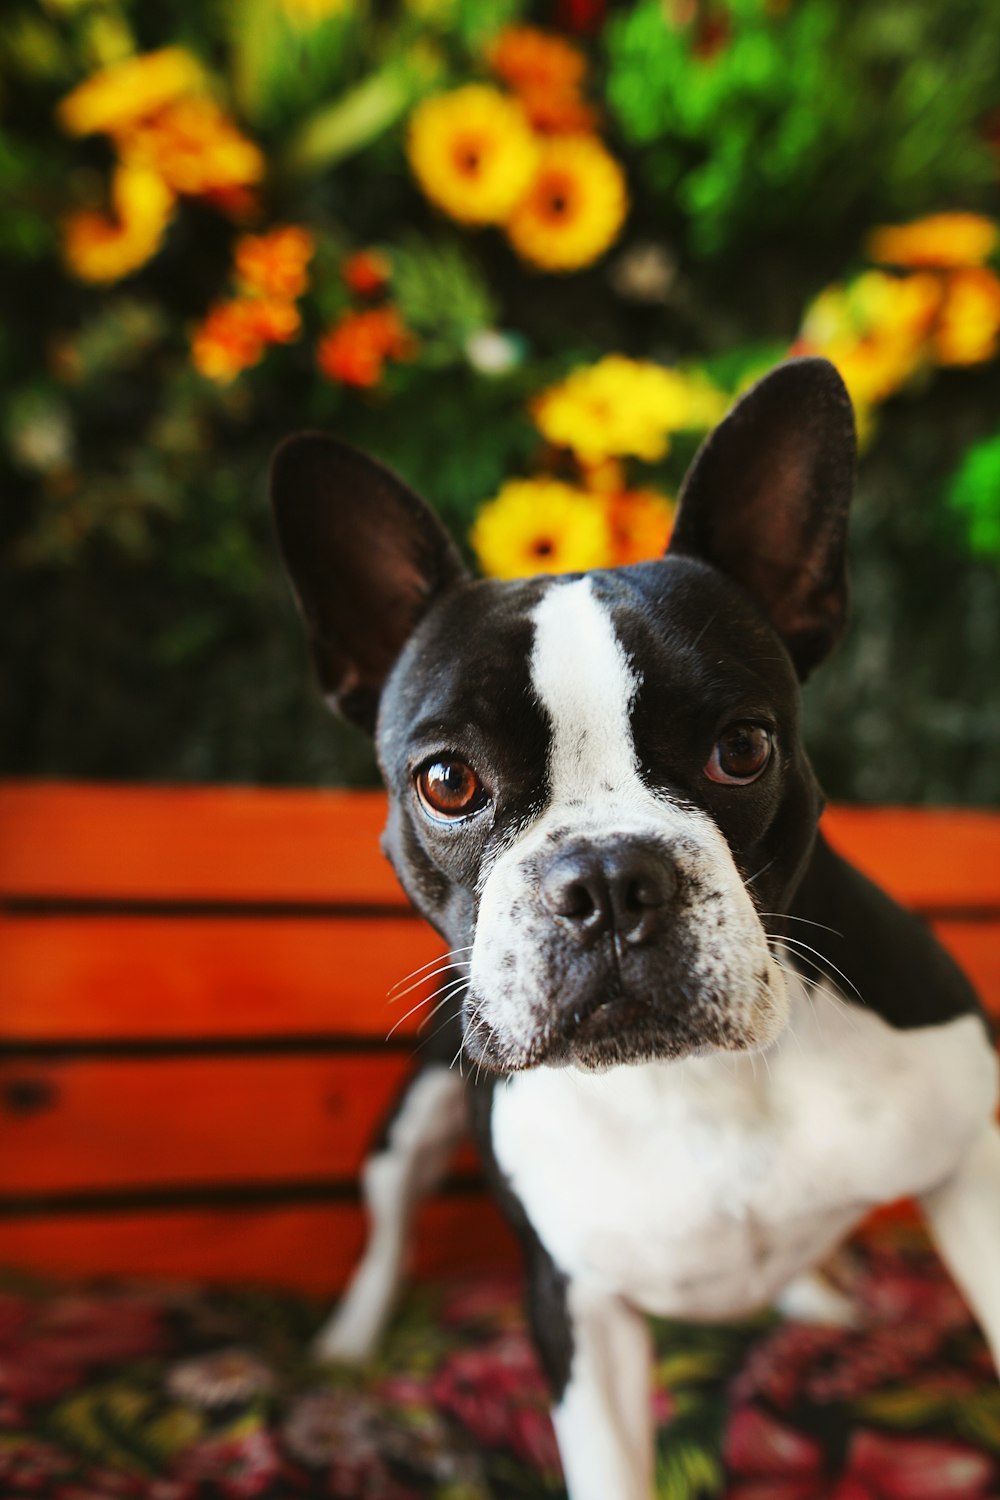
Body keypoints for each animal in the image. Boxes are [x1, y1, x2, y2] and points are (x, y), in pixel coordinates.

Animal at [269, 357, 995, 1494]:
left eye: (742, 748)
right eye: (446, 781)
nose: (608, 877)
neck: (697, 1079)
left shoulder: (973, 1172)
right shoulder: (578, 1313)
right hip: (414, 1116)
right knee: (389, 1228)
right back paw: (347, 1345)